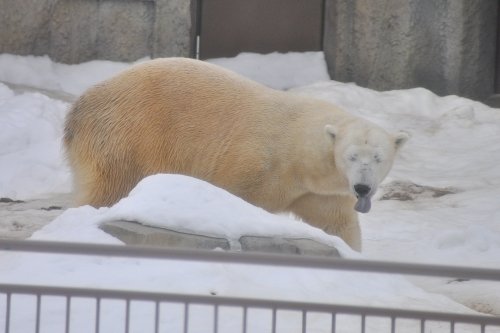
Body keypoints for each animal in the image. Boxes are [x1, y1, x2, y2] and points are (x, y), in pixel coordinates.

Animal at [63, 57, 406, 249]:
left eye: (378, 158)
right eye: (351, 156)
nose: (362, 187)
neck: (299, 156)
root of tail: (79, 107)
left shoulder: (322, 192)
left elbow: (338, 225)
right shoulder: (257, 161)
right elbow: (235, 195)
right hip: (127, 133)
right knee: (110, 185)